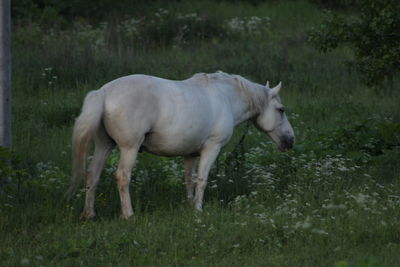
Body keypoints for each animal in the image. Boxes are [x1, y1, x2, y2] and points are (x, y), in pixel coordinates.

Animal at [69, 71, 294, 220]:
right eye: (281, 110)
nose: (290, 140)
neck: (226, 98)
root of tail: (104, 92)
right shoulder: (211, 148)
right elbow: (202, 180)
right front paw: (198, 209)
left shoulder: (190, 154)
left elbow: (189, 180)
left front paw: (189, 205)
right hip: (128, 149)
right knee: (122, 177)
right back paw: (129, 215)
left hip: (104, 146)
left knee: (93, 175)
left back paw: (88, 214)